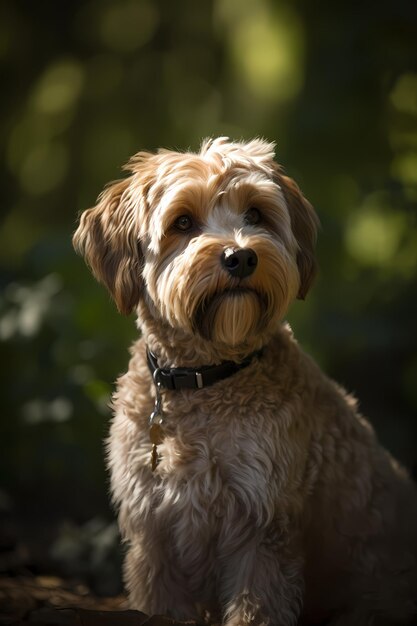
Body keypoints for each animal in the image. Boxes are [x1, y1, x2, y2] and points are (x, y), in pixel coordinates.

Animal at [72, 138, 416, 624]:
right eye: (182, 222)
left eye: (255, 214)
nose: (241, 256)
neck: (205, 382)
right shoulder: (154, 533)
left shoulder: (262, 529)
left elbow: (255, 608)